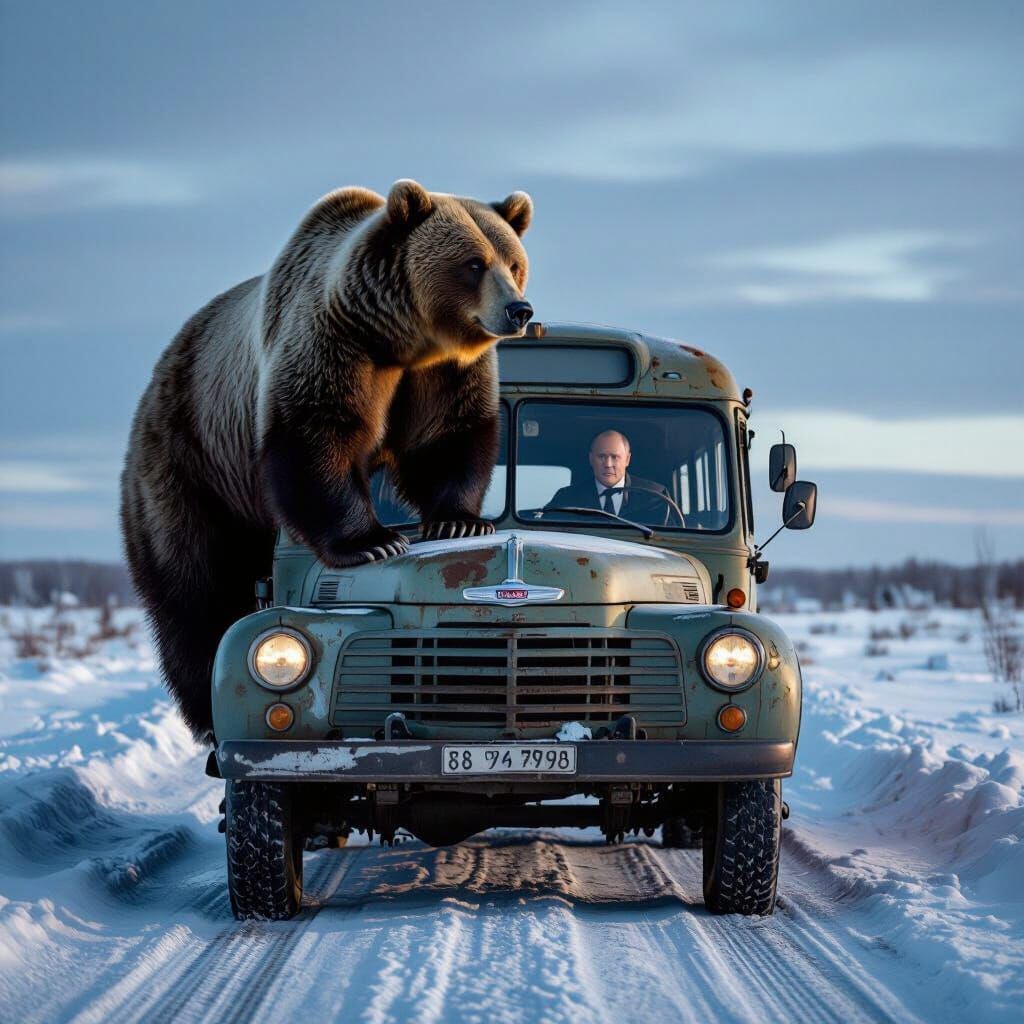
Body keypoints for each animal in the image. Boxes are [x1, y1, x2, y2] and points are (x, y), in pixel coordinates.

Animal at [120, 180, 533, 739]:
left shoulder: (444, 372)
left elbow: (448, 437)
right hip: (191, 459)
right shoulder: (332, 343)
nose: (519, 310)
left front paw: (459, 522)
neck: (403, 340)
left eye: (513, 262)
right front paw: (375, 540)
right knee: (195, 592)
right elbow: (317, 437)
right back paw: (204, 714)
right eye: (473, 263)